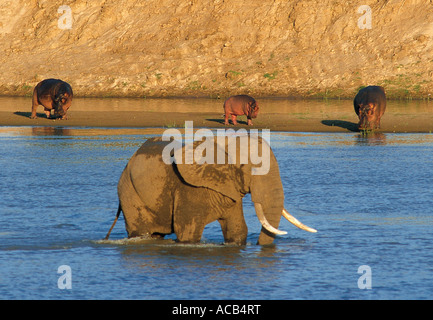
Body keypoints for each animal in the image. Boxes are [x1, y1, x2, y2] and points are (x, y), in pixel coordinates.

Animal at [104, 133, 314, 245]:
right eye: (248, 168)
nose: (258, 246)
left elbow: (237, 230)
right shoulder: (188, 187)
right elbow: (188, 232)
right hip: (129, 192)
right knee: (141, 232)